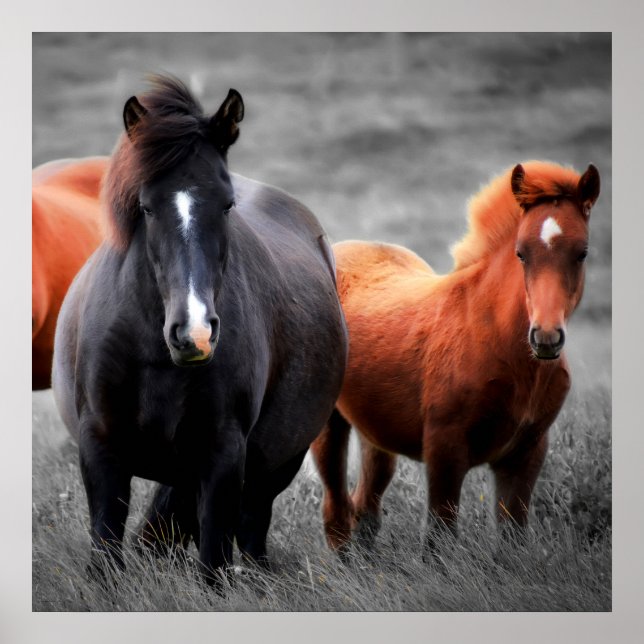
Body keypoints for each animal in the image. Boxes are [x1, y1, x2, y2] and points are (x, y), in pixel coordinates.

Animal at [52, 75, 347, 584]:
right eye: (146, 207)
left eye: (227, 205)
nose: (195, 334)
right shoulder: (100, 448)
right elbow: (106, 555)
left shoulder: (223, 454)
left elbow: (213, 563)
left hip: (277, 463)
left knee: (251, 530)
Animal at [311, 160, 600, 553]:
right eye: (521, 252)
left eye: (582, 252)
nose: (545, 338)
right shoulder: (444, 449)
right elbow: (439, 539)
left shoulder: (526, 453)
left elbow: (512, 539)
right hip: (328, 424)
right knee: (336, 512)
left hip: (376, 432)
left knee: (365, 505)